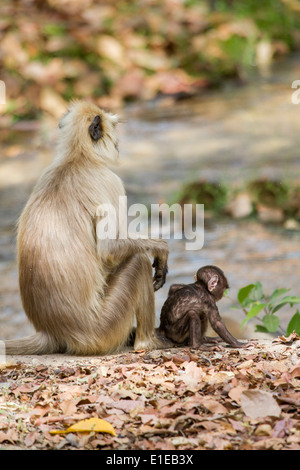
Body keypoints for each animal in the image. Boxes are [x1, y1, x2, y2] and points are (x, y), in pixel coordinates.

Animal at [4, 101, 169, 354]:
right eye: (114, 127)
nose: (118, 142)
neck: (77, 157)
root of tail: (54, 332)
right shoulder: (111, 181)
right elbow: (109, 249)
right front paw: (161, 248)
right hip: (103, 328)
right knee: (138, 261)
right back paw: (147, 342)